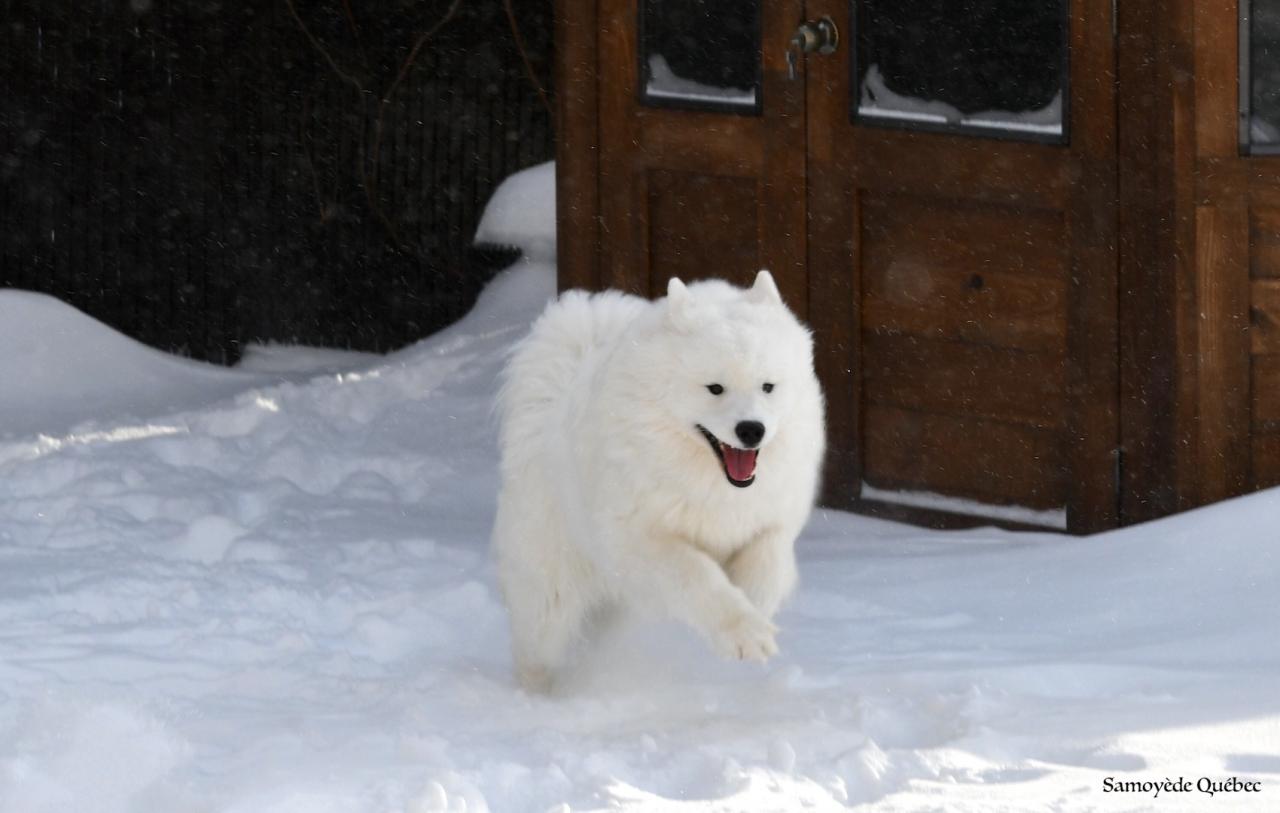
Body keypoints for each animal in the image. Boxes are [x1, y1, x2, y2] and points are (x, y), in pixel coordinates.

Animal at [488, 270, 829, 691]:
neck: (713, 482)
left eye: (768, 386)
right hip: (550, 590)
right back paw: (538, 694)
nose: (752, 430)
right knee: (536, 645)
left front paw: (754, 608)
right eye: (715, 388)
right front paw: (744, 634)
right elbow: (699, 578)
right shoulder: (643, 540)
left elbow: (766, 566)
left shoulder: (772, 521)